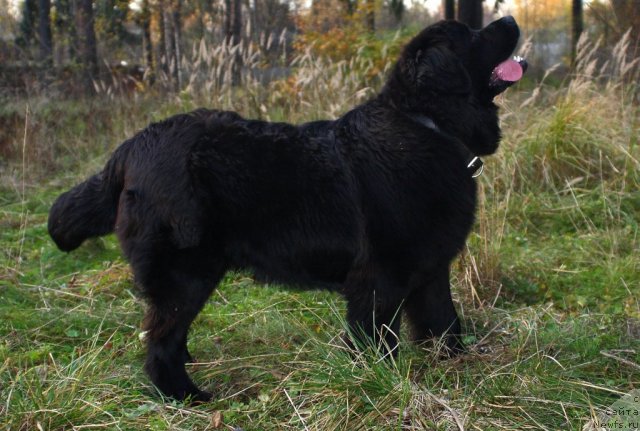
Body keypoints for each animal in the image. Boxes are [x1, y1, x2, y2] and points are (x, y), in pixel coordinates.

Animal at [48, 16, 524, 402]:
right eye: (472, 36)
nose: (510, 17)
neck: (428, 124)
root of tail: (130, 147)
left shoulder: (430, 268)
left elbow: (444, 321)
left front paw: (458, 365)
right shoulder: (379, 277)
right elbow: (376, 338)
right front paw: (380, 382)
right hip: (184, 272)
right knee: (159, 342)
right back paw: (187, 396)